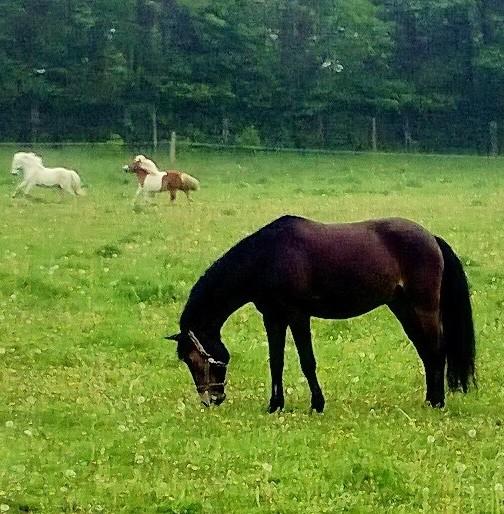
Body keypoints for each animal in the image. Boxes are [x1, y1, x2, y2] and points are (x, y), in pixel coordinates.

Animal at [166, 215, 476, 412]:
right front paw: (275, 405)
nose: (210, 400)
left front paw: (317, 404)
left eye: (193, 359)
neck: (268, 257)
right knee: (426, 352)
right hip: (403, 308)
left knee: (436, 350)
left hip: (423, 307)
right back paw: (429, 399)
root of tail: (431, 238)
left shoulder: (298, 315)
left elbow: (307, 362)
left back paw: (437, 402)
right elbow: (276, 362)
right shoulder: (273, 317)